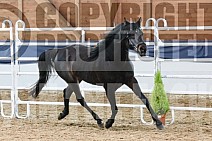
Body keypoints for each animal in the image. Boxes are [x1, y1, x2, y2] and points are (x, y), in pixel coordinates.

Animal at [29, 17, 163, 130]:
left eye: (141, 33)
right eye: (129, 34)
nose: (142, 49)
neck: (114, 60)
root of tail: (59, 51)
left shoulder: (131, 80)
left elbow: (144, 99)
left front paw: (159, 123)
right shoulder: (108, 87)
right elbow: (115, 107)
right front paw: (108, 123)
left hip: (76, 80)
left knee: (66, 92)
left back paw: (62, 114)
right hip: (71, 80)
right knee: (79, 98)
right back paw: (99, 121)